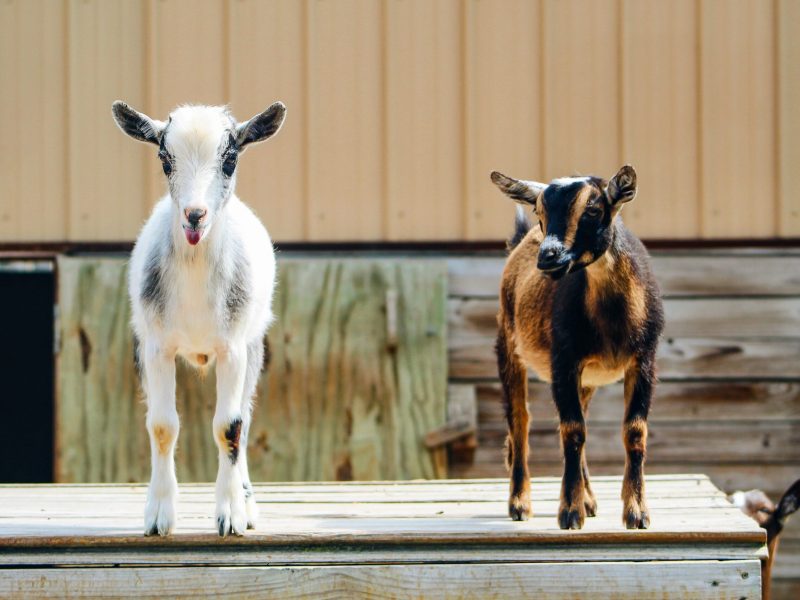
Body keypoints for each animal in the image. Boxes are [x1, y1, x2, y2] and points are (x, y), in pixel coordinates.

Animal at [111, 100, 286, 537]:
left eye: (230, 159)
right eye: (164, 159)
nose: (195, 215)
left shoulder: (233, 348)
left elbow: (230, 426)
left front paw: (231, 515)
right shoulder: (155, 348)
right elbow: (162, 426)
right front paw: (158, 516)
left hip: (254, 347)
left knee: (245, 417)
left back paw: (248, 502)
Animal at [491, 165, 664, 530]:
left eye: (593, 209)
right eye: (540, 213)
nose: (548, 256)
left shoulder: (644, 360)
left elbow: (634, 431)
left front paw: (637, 512)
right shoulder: (564, 359)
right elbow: (572, 431)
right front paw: (570, 514)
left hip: (587, 379)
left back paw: (588, 498)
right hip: (507, 346)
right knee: (520, 419)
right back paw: (519, 503)